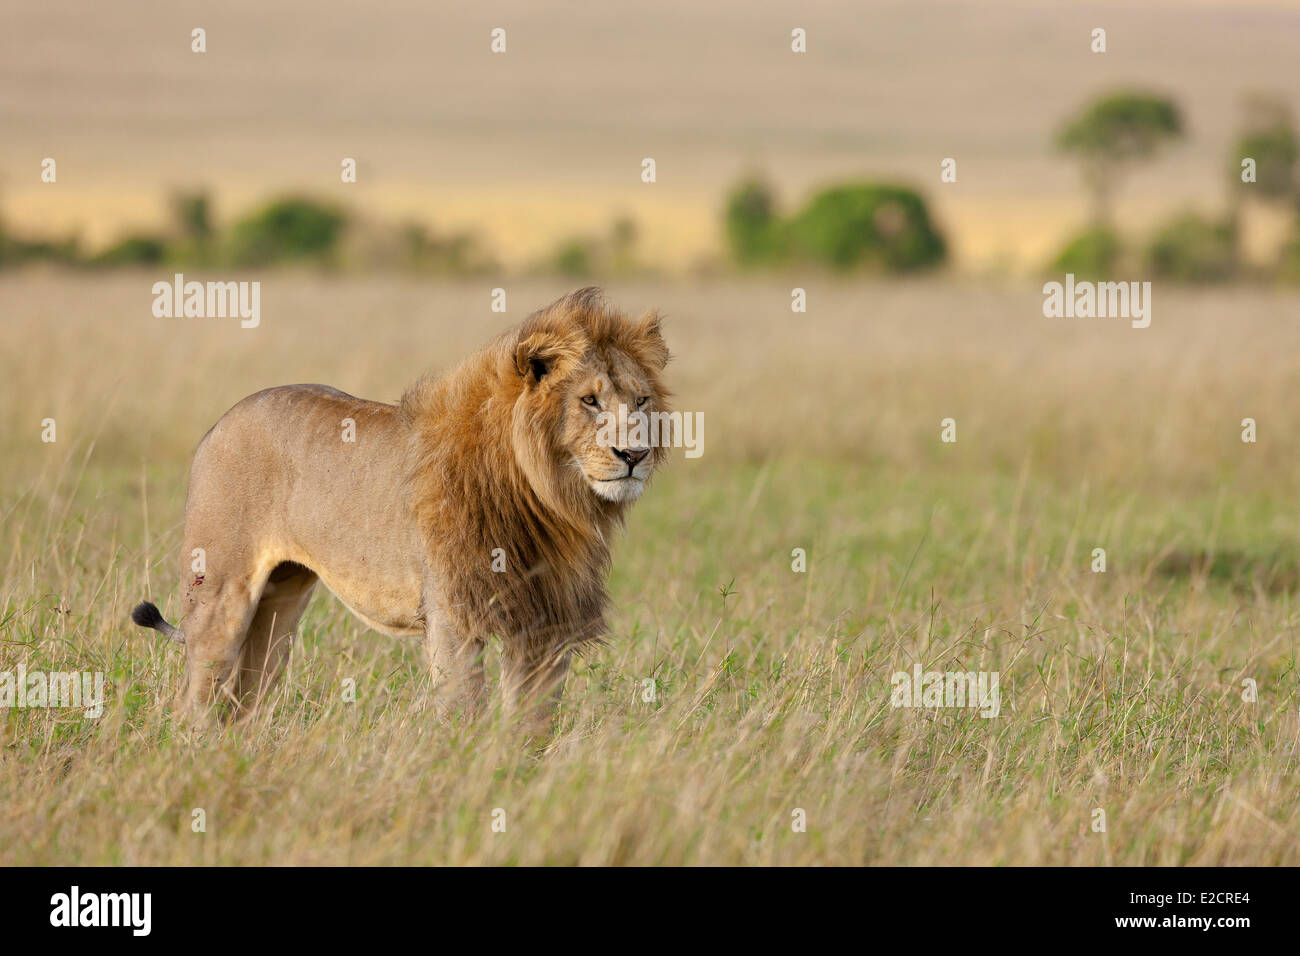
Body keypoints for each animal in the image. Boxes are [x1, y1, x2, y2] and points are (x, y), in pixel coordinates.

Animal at [131, 288, 670, 733]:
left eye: (642, 400)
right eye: (589, 401)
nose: (635, 455)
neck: (552, 496)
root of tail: (221, 421)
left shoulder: (544, 622)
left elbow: (532, 725)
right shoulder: (454, 615)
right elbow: (462, 711)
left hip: (280, 603)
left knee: (243, 698)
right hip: (221, 594)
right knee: (193, 702)